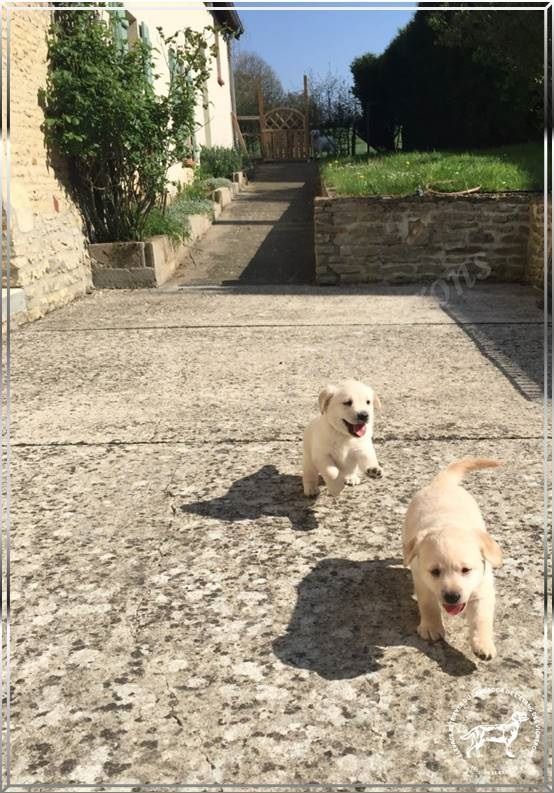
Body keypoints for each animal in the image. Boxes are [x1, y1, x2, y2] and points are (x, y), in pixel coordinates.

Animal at [402, 454, 500, 660]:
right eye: (435, 571)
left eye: (466, 570)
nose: (452, 596)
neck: (448, 523)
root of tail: (441, 484)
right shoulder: (422, 580)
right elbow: (428, 604)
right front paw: (431, 627)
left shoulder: (483, 588)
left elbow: (481, 618)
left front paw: (483, 644)